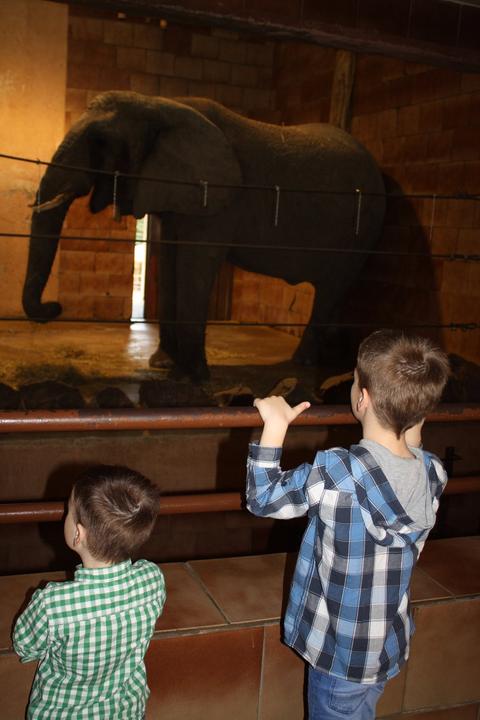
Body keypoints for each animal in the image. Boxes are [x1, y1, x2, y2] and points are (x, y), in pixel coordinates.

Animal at [23, 90, 385, 382]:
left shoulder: (218, 197)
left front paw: (191, 377)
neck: (160, 103)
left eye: (100, 142)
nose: (55, 307)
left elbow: (196, 263)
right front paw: (163, 366)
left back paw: (303, 364)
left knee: (332, 288)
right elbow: (170, 259)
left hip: (364, 227)